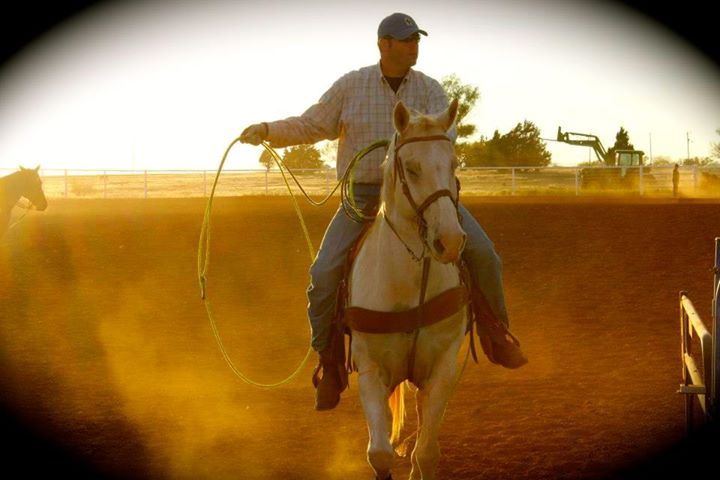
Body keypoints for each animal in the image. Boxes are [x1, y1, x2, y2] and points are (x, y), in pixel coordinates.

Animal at [348, 99, 466, 478]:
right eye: (411, 168)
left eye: (453, 163)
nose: (450, 241)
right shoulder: (370, 370)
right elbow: (380, 453)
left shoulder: (443, 367)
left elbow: (426, 452)